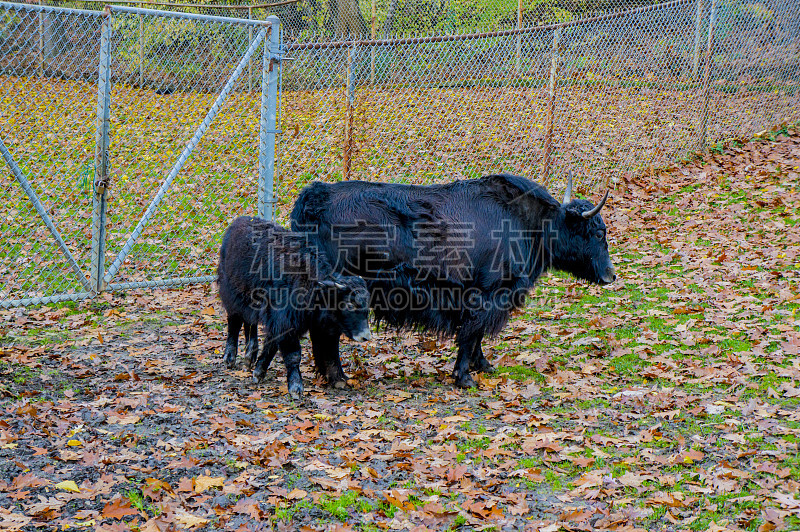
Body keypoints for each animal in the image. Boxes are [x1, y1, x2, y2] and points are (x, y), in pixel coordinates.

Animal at [216, 217, 372, 400]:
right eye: (349, 304)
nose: (366, 336)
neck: (313, 286)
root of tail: (237, 223)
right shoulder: (285, 321)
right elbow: (293, 354)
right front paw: (296, 387)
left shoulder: (285, 322)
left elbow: (273, 345)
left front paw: (259, 371)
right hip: (232, 295)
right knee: (234, 322)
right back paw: (230, 357)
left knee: (250, 323)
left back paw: (250, 355)